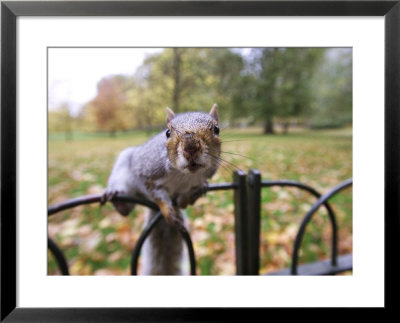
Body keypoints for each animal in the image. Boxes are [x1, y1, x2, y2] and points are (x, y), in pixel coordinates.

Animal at [99, 104, 219, 276]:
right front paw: (168, 211)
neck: (183, 175)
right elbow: (159, 196)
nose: (190, 147)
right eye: (167, 132)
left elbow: (183, 202)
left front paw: (194, 193)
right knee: (125, 210)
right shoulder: (147, 175)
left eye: (216, 129)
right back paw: (115, 197)